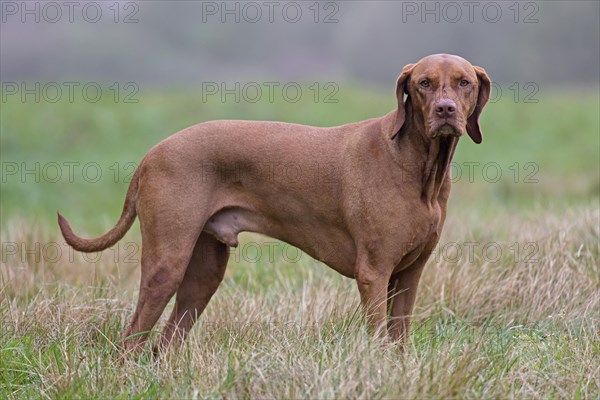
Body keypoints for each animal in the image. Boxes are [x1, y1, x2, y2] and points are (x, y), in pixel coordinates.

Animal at [59, 54, 492, 352]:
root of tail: (151, 154)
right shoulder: (374, 272)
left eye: (464, 82)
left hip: (203, 274)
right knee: (131, 340)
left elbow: (399, 338)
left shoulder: (409, 275)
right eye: (424, 83)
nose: (446, 110)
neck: (420, 168)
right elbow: (379, 337)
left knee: (163, 343)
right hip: (167, 263)